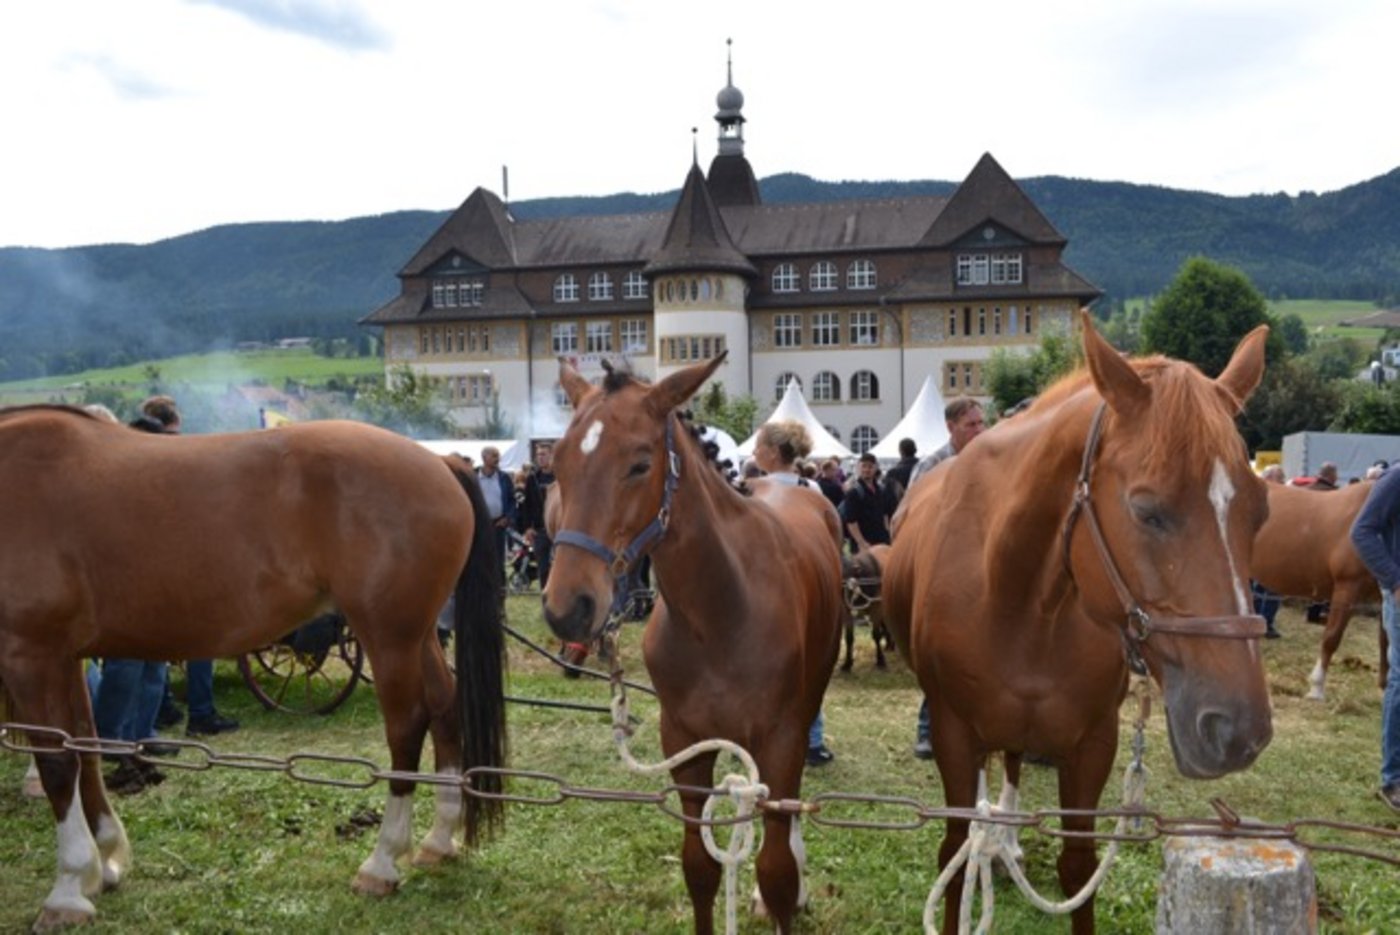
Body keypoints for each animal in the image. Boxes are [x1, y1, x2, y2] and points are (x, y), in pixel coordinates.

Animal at [0, 406, 507, 930]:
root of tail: (438, 461)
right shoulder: (65, 656)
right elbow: (86, 747)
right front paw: (105, 862)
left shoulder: (28, 654)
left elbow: (57, 762)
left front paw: (67, 888)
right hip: (418, 635)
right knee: (445, 708)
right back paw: (439, 840)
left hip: (389, 637)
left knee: (407, 727)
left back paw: (382, 862)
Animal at [541, 356, 845, 935]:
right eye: (558, 463)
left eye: (640, 464)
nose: (568, 608)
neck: (720, 611)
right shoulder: (683, 741)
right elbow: (698, 868)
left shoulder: (781, 738)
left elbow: (776, 871)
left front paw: (784, 891)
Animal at [882, 312, 1274, 934]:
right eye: (1146, 510)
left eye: (1262, 509)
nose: (1238, 729)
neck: (1023, 602)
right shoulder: (953, 732)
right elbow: (954, 855)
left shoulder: (1092, 745)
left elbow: (1078, 866)